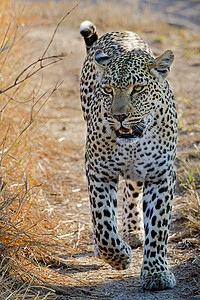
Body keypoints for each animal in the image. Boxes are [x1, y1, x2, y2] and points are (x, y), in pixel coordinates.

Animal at [79, 20, 177, 290]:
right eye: (108, 90)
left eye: (138, 89)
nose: (119, 116)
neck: (132, 145)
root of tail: (118, 31)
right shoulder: (99, 172)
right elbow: (103, 221)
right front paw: (118, 257)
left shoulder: (160, 176)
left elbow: (158, 227)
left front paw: (156, 273)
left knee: (131, 190)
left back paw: (133, 231)